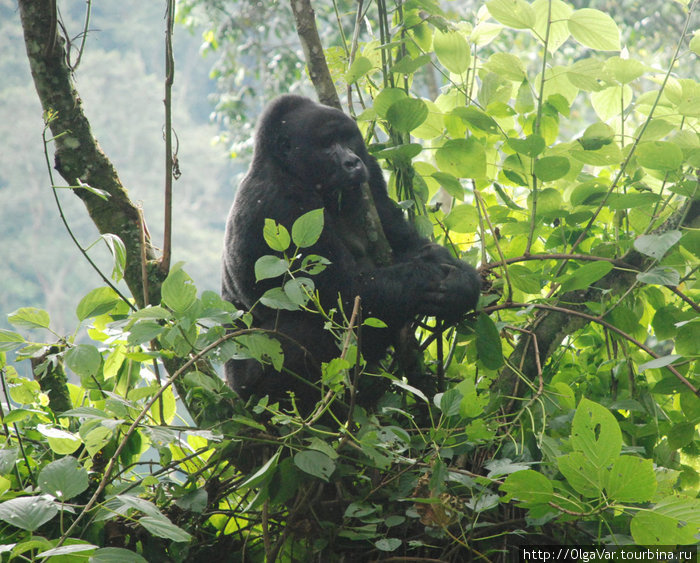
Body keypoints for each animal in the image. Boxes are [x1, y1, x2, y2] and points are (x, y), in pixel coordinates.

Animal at [224, 94, 482, 408]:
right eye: (326, 144)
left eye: (348, 139)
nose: (352, 162)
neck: (288, 167)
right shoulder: (278, 204)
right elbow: (345, 295)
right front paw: (427, 278)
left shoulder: (370, 173)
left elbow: (406, 241)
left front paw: (462, 284)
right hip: (248, 388)